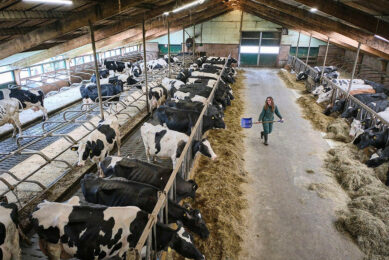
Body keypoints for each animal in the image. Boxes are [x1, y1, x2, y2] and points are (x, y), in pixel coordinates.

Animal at [31, 197, 203, 260]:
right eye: (185, 245)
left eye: (192, 238)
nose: (202, 257)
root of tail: (41, 204)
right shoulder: (124, 254)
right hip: (53, 248)